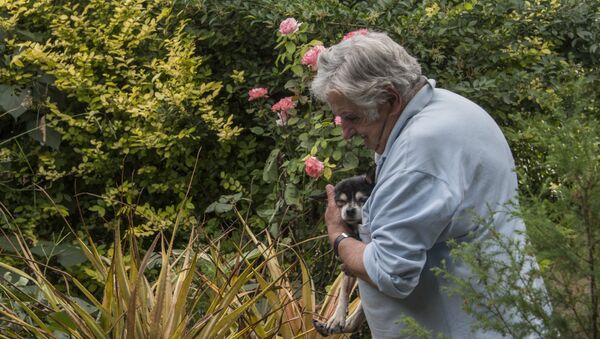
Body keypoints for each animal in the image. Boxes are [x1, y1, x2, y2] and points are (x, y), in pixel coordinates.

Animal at [312, 174, 372, 338]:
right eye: (340, 202)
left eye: (362, 199)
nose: (350, 210)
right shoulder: (350, 264)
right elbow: (343, 293)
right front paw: (337, 318)